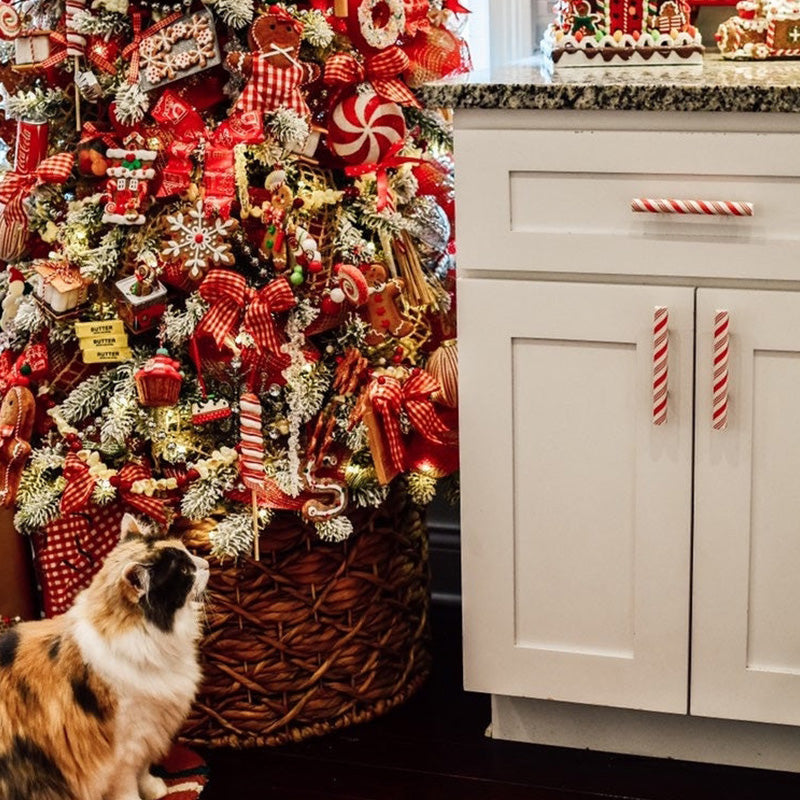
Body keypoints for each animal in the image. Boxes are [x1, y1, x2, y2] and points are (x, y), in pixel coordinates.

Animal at [0, 512, 209, 800]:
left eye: (188, 551)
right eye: (186, 571)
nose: (207, 563)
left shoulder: (148, 730)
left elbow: (143, 770)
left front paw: (154, 788)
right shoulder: (121, 749)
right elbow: (127, 785)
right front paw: (138, 797)